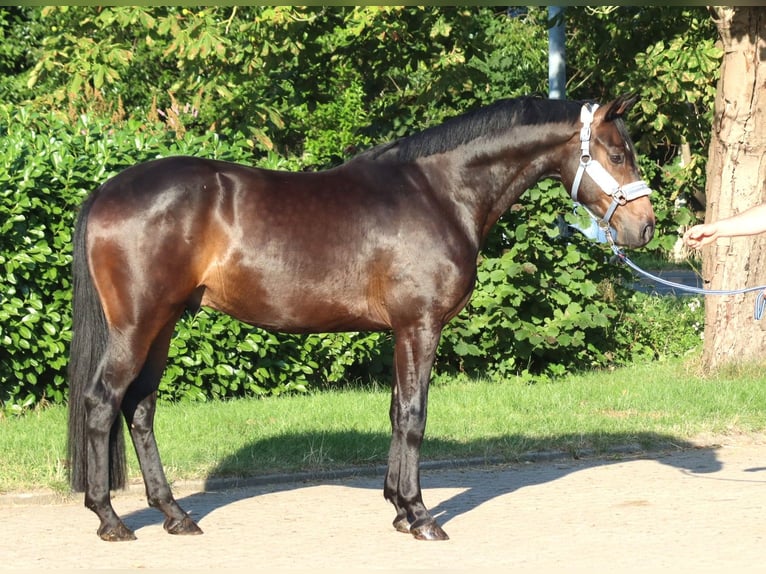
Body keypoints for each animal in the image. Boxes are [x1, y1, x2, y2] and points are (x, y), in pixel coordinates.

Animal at [67, 94, 655, 542]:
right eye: (617, 153)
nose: (645, 227)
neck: (440, 192)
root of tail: (106, 191)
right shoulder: (420, 326)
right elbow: (415, 416)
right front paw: (421, 517)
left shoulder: (400, 331)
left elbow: (397, 413)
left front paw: (398, 508)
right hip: (137, 324)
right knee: (102, 401)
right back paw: (110, 519)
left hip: (163, 324)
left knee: (140, 409)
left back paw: (175, 515)